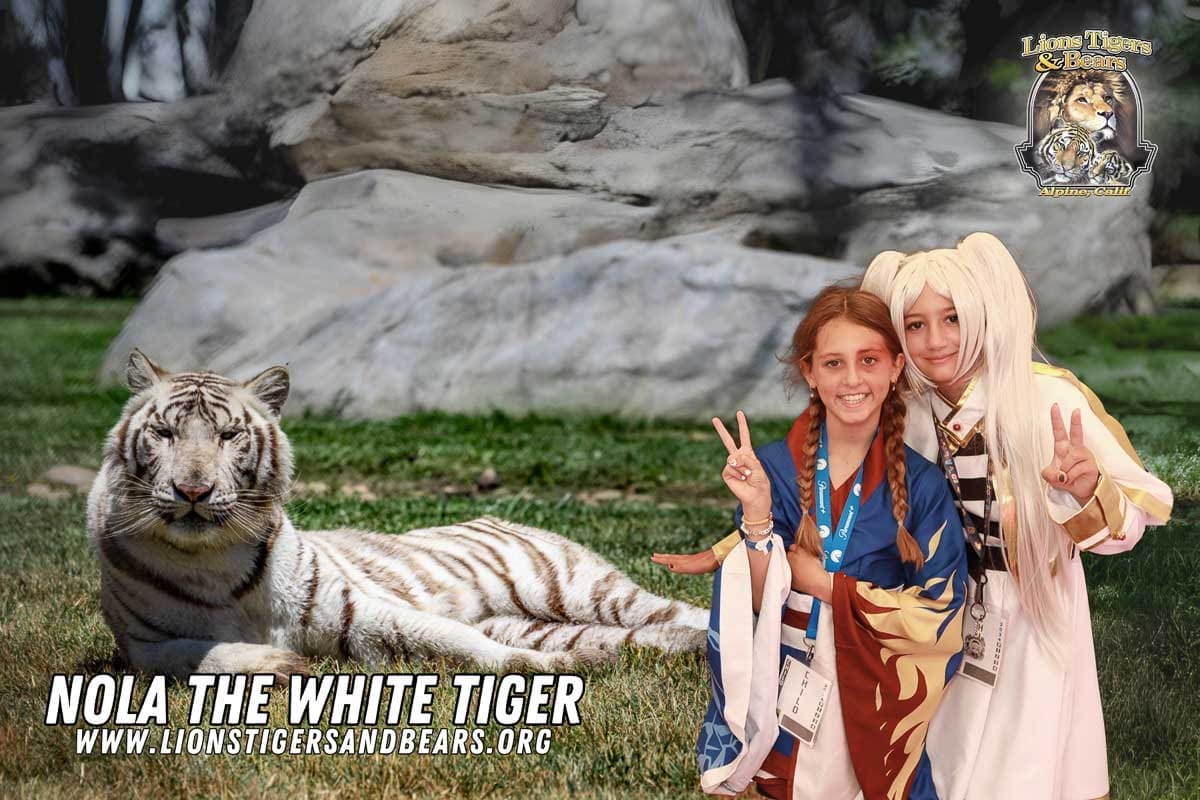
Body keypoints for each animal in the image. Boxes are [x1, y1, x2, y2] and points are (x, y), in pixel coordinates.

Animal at [86, 350, 708, 679]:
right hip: (545, 617)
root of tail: (495, 517)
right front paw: (281, 662)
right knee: (649, 634)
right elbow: (197, 656)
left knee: (682, 611)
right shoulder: (139, 645)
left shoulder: (357, 611)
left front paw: (543, 669)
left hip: (578, 589)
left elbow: (461, 642)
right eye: (165, 433)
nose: (193, 489)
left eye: (228, 435)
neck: (214, 556)